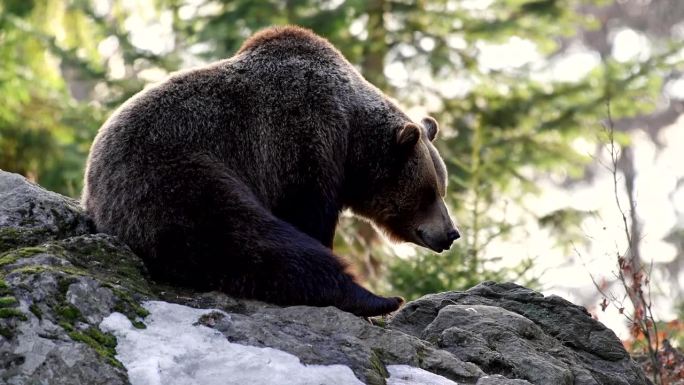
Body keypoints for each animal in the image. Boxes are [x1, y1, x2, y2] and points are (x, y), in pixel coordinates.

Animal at [85, 26, 460, 316]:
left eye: (441, 188)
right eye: (429, 192)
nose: (451, 233)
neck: (351, 139)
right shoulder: (301, 141)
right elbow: (306, 217)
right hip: (173, 180)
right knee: (251, 240)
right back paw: (378, 299)